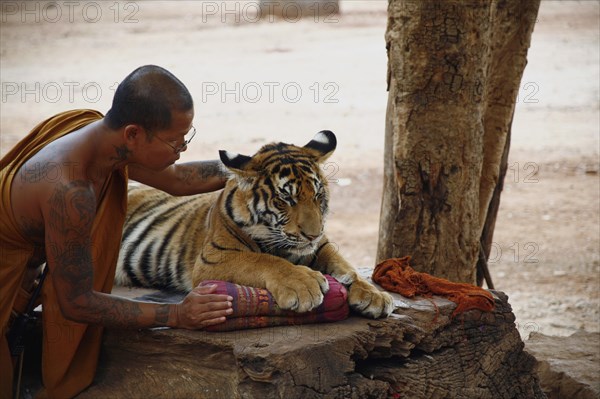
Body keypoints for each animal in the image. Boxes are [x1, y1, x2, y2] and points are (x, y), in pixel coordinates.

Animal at [116, 133, 398, 320]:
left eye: (318, 196)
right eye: (286, 199)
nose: (312, 234)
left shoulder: (321, 246)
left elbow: (345, 266)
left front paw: (373, 295)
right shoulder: (214, 258)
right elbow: (263, 261)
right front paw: (303, 285)